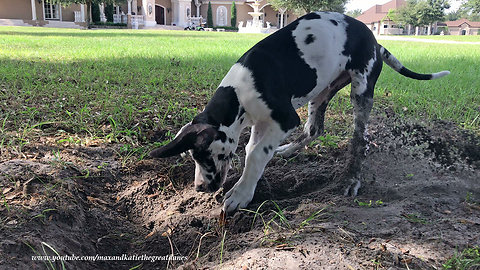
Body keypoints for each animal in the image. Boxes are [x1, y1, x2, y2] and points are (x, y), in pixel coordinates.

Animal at [151, 12, 450, 213]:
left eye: (205, 157)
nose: (200, 188)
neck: (239, 94)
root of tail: (376, 43)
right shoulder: (262, 123)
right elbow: (252, 150)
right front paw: (250, 181)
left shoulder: (284, 120)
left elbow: (255, 155)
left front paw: (241, 194)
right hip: (320, 93)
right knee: (314, 129)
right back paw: (288, 151)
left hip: (361, 91)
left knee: (360, 139)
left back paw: (351, 179)